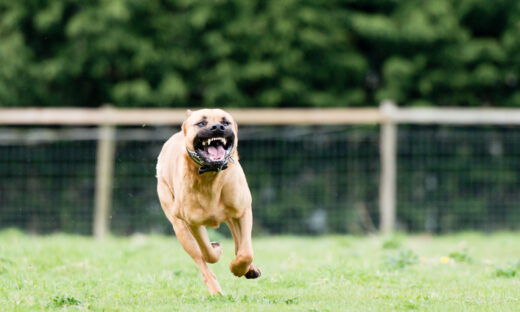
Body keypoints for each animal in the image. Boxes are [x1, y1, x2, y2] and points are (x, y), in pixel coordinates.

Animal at [154, 108, 260, 294]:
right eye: (201, 123)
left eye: (226, 122)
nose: (217, 127)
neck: (210, 175)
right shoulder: (192, 222)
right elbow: (207, 254)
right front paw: (217, 249)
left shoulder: (243, 211)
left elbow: (246, 252)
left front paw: (238, 268)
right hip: (180, 228)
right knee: (200, 260)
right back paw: (216, 291)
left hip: (232, 216)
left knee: (239, 242)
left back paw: (249, 269)